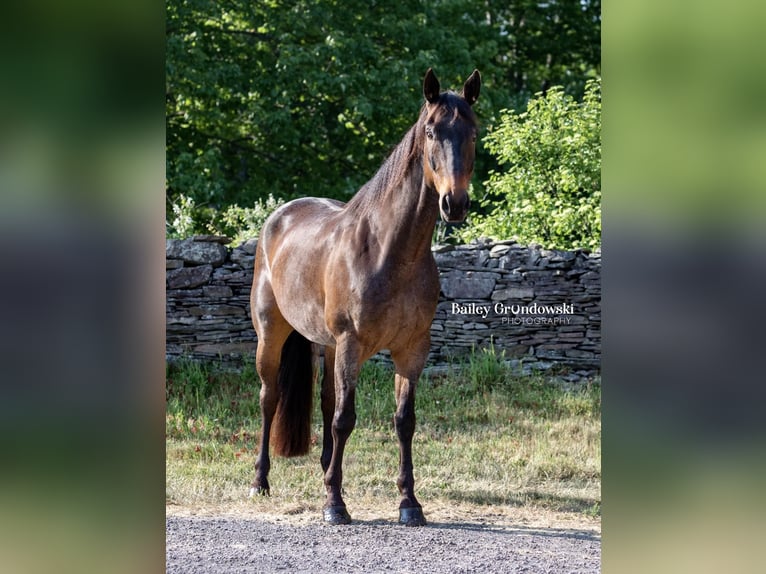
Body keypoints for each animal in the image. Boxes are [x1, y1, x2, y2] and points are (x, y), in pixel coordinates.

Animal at [250, 67, 480, 528]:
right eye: (431, 131)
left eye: (473, 132)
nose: (455, 203)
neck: (389, 252)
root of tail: (279, 216)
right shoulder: (352, 343)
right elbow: (345, 419)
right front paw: (335, 505)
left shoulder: (412, 349)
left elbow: (403, 421)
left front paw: (409, 502)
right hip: (273, 335)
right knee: (270, 399)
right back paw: (261, 481)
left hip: (326, 345)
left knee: (325, 401)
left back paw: (326, 470)